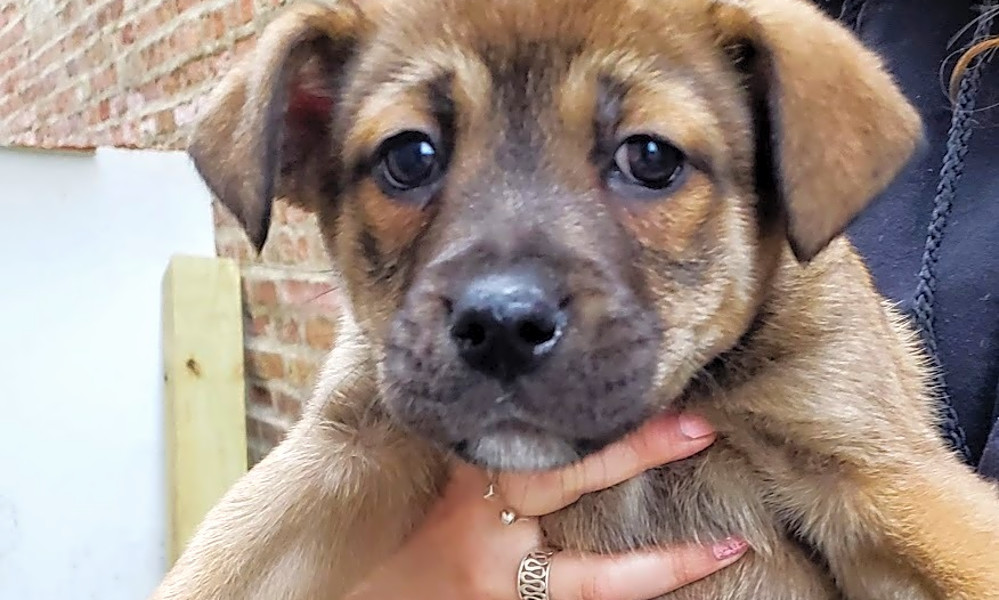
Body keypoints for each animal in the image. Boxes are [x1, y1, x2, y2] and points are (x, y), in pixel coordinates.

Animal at [152, 0, 999, 596]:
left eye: (650, 157)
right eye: (408, 156)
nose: (499, 327)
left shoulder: (878, 475)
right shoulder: (344, 447)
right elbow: (217, 565)